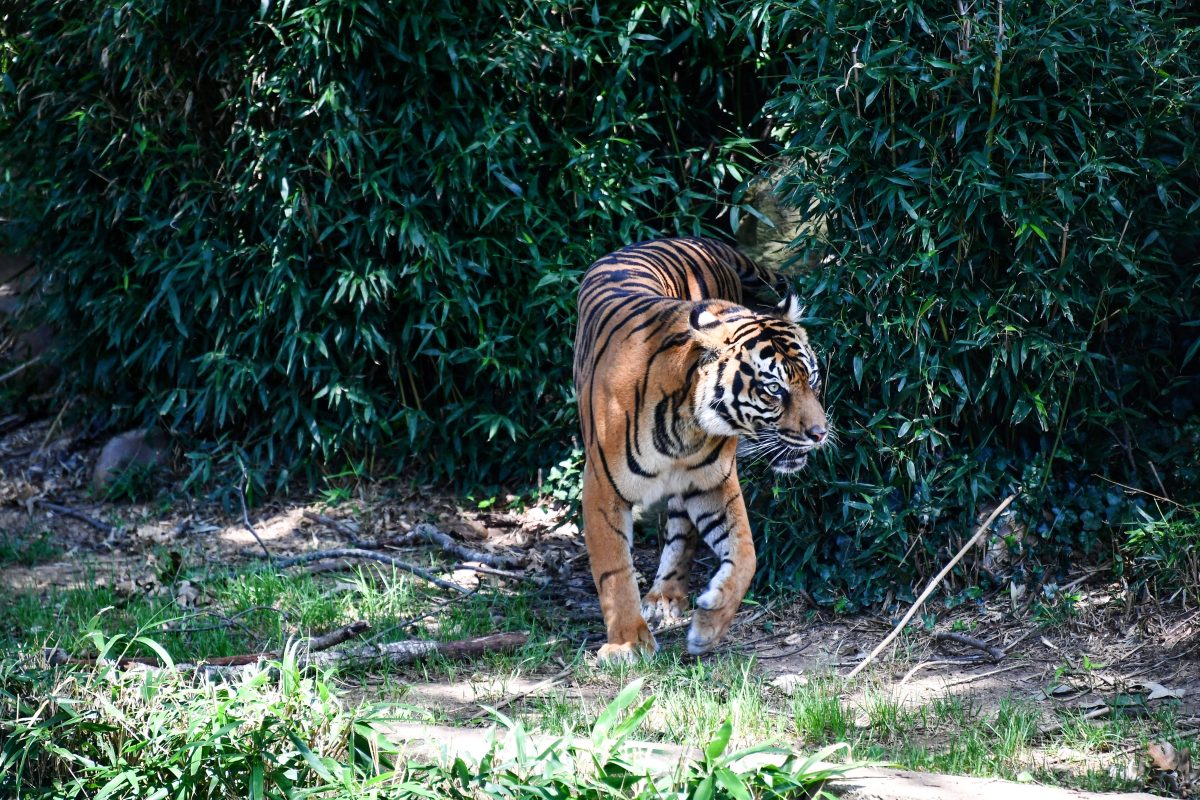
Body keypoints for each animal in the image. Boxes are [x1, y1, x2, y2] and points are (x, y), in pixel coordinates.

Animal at [571, 236, 825, 662]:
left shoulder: (713, 482)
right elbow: (614, 568)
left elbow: (745, 554)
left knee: (680, 533)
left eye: (813, 379)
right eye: (774, 389)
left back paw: (666, 597)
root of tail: (698, 240)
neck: (686, 421)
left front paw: (708, 626)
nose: (821, 433)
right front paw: (627, 643)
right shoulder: (603, 488)